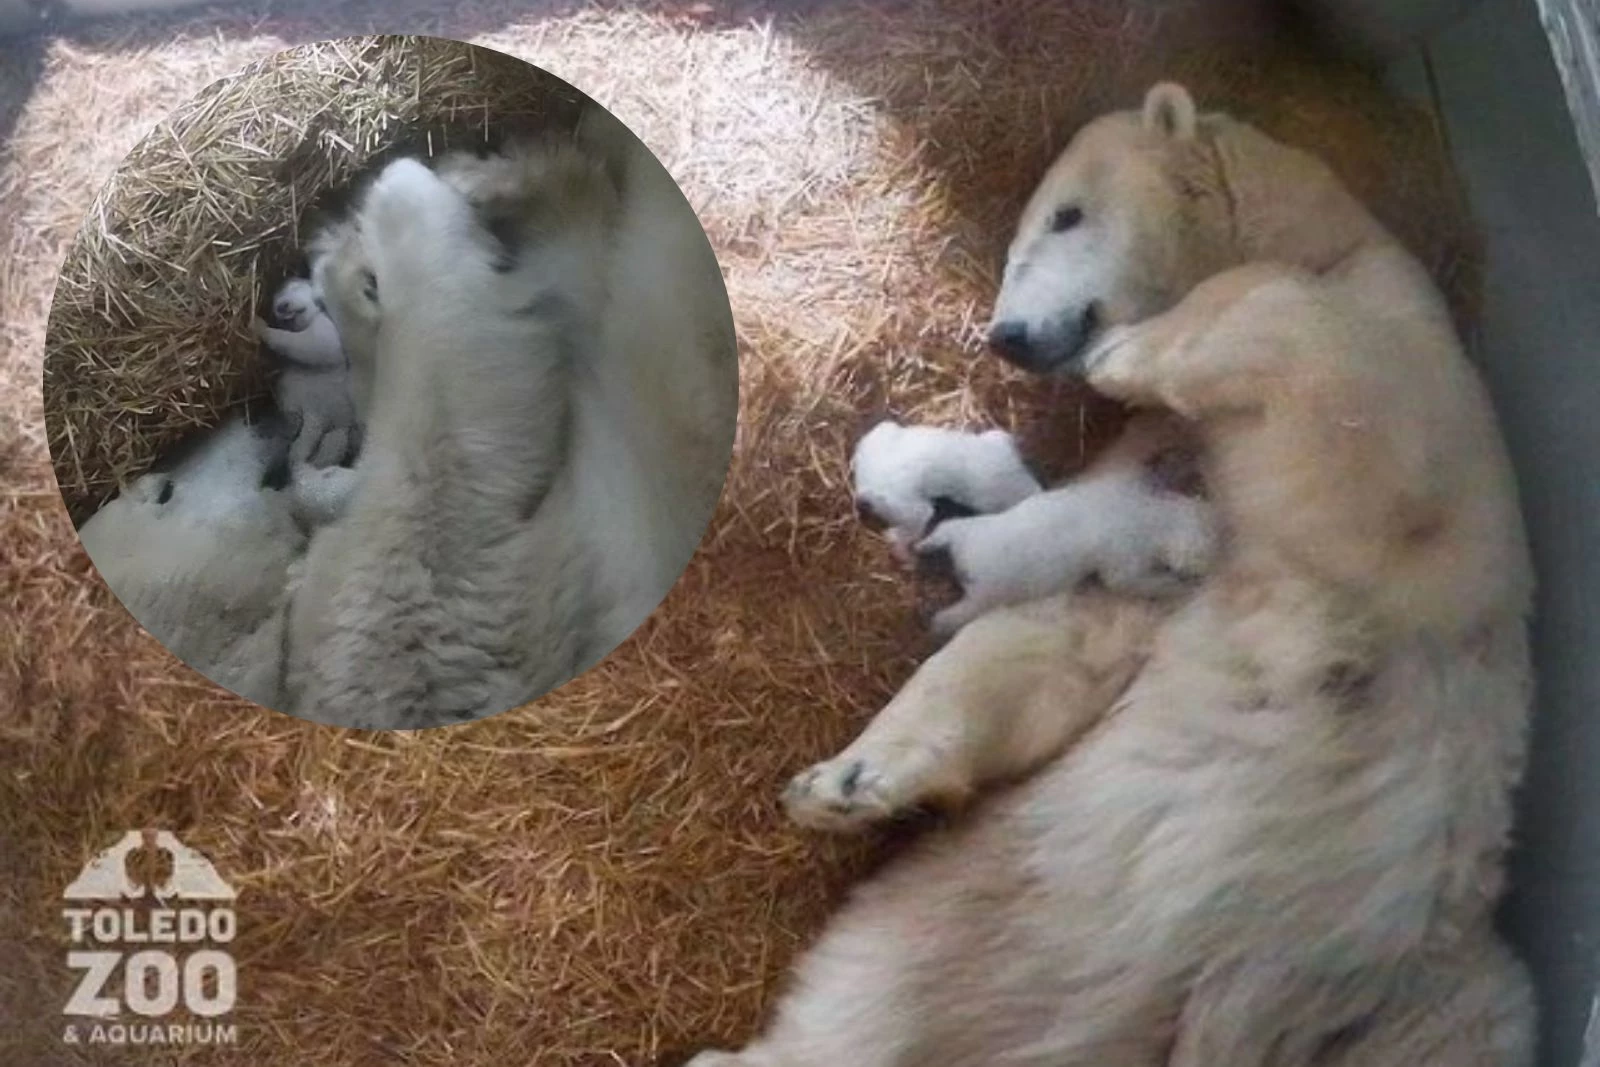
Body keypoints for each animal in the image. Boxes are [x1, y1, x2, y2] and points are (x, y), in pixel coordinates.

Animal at [697, 85, 1536, 1067]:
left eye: (1065, 214)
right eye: (1019, 240)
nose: (1010, 336)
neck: (1318, 238)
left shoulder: (1418, 383)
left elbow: (1346, 417)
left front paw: (1130, 355)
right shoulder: (1156, 491)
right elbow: (1064, 630)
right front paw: (844, 781)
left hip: (1419, 986)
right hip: (987, 907)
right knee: (868, 1000)